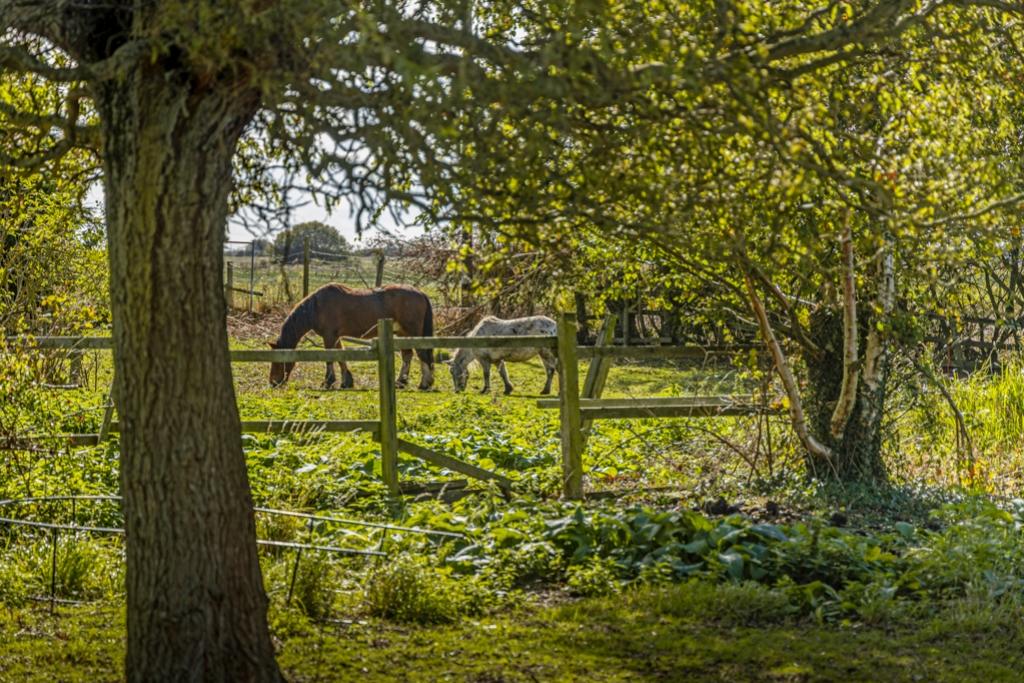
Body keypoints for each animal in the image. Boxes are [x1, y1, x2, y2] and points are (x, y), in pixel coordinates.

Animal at [268, 282, 432, 389]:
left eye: (277, 362)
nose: (273, 382)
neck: (317, 307)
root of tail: (420, 293)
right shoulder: (335, 337)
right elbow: (341, 357)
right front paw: (346, 381)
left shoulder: (329, 336)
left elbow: (330, 358)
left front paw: (328, 382)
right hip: (402, 334)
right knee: (407, 356)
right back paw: (401, 382)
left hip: (412, 333)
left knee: (421, 353)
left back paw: (424, 383)